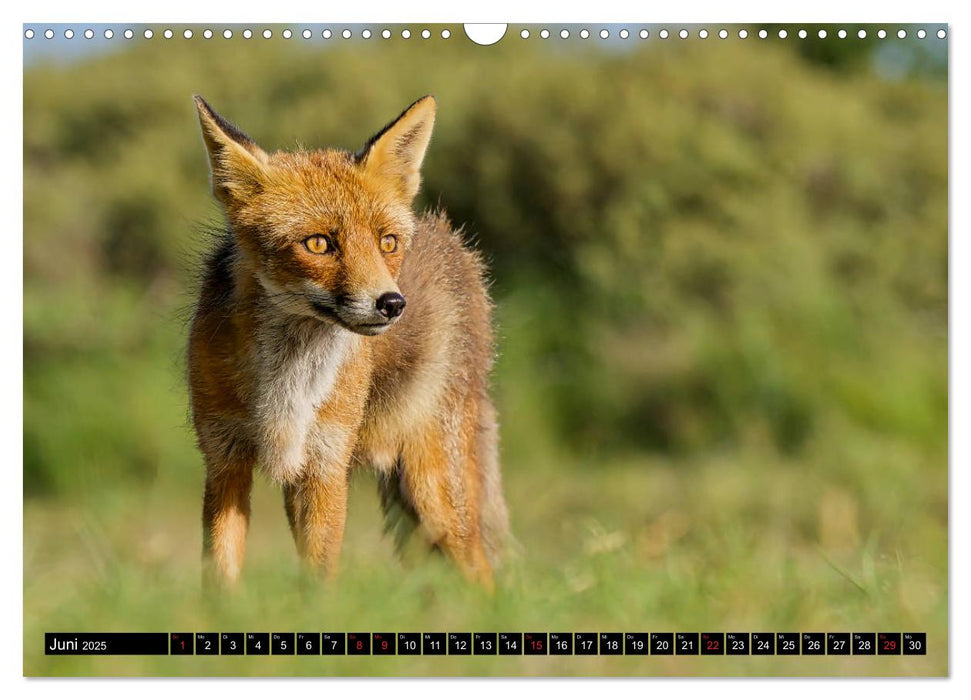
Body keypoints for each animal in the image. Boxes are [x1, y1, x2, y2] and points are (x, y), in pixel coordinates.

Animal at [186, 95, 512, 588]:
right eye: (319, 244)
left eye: (387, 242)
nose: (392, 304)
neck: (289, 382)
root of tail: (457, 247)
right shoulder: (225, 461)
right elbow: (219, 577)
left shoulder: (327, 465)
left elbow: (320, 581)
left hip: (435, 497)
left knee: (484, 573)